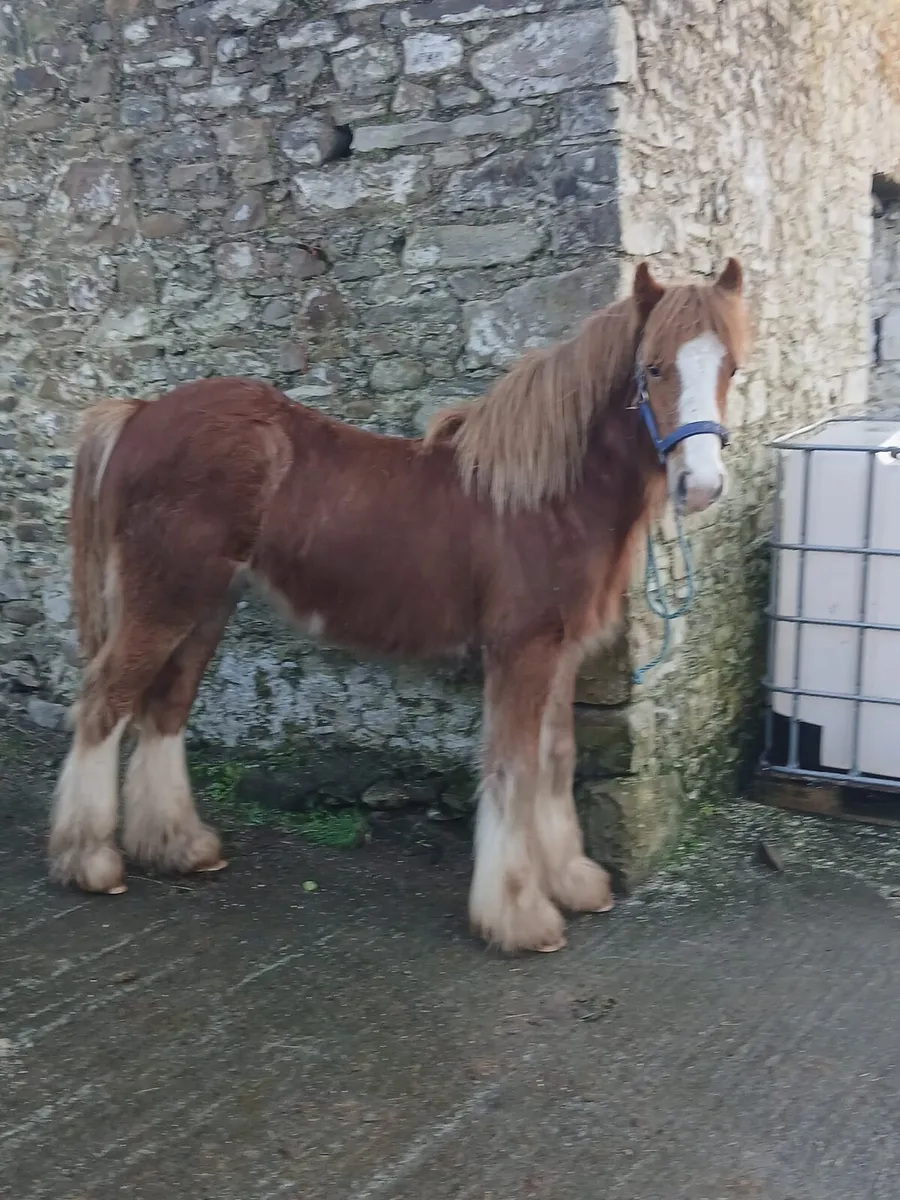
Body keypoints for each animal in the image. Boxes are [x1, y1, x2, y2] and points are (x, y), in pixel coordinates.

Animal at [48, 257, 748, 954]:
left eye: (733, 368)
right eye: (653, 368)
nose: (701, 485)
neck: (548, 498)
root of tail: (139, 413)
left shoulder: (560, 654)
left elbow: (555, 761)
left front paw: (572, 882)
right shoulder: (521, 652)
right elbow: (513, 770)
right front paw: (518, 915)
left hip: (205, 607)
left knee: (164, 708)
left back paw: (177, 845)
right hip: (165, 601)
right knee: (105, 701)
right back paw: (90, 861)